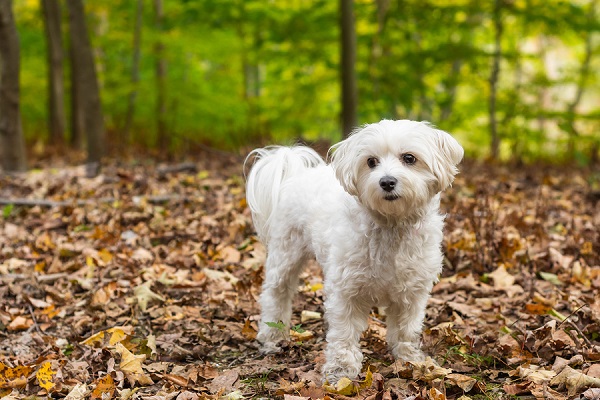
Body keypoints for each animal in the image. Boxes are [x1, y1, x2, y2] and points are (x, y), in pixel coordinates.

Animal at [244, 119, 464, 384]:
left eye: (409, 158)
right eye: (371, 161)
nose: (387, 181)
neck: (391, 225)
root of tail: (297, 174)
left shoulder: (412, 291)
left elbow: (406, 328)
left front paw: (410, 358)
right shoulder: (346, 290)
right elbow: (344, 333)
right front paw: (340, 370)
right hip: (286, 254)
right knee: (276, 294)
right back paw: (272, 336)